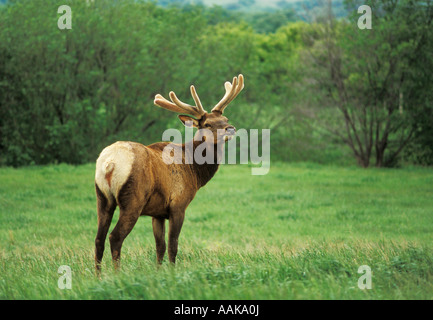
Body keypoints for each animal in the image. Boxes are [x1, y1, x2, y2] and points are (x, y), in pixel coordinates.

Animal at [94, 74, 243, 272]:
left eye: (225, 118)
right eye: (208, 123)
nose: (230, 128)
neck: (194, 171)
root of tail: (109, 163)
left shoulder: (157, 213)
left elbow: (160, 246)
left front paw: (159, 272)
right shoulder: (178, 204)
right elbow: (173, 245)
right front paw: (173, 273)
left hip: (103, 197)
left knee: (98, 239)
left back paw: (98, 275)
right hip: (133, 199)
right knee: (115, 237)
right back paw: (117, 275)